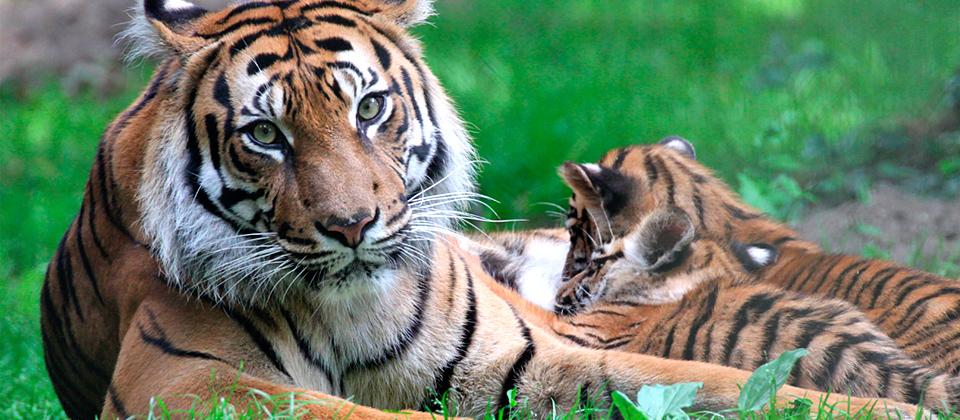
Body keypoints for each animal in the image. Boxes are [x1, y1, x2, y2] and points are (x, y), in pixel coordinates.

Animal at [41, 0, 916, 418]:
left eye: (370, 109)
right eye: (265, 135)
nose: (352, 226)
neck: (349, 309)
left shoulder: (538, 354)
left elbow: (718, 381)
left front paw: (885, 408)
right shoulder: (183, 382)